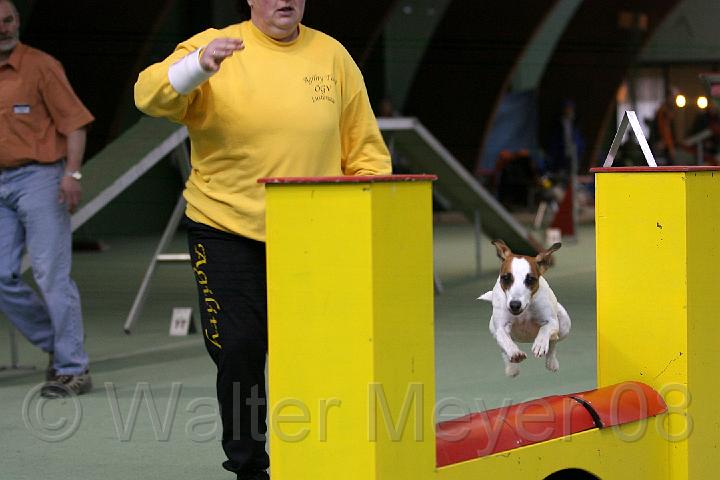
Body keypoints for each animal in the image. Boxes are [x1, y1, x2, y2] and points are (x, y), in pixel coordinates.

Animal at [478, 239, 571, 377]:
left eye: (530, 279)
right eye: (506, 278)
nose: (515, 305)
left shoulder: (552, 322)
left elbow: (545, 329)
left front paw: (540, 344)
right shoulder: (500, 327)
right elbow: (505, 340)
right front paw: (514, 353)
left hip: (564, 323)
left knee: (554, 340)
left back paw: (551, 361)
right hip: (493, 329)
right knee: (502, 346)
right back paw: (511, 367)